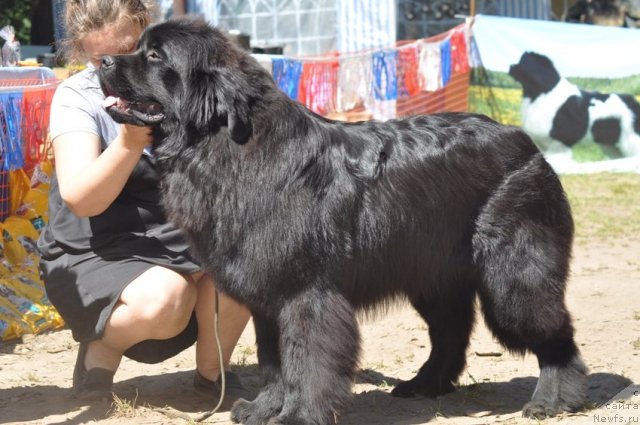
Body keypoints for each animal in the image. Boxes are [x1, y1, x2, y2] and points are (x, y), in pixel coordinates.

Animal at [99, 16, 584, 424]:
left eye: (155, 55)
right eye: (137, 47)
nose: (102, 60)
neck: (223, 144)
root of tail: (523, 140)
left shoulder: (306, 292)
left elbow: (308, 359)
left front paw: (299, 415)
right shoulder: (268, 296)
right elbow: (273, 360)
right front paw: (264, 408)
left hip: (513, 275)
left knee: (553, 332)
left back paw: (554, 399)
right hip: (432, 271)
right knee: (450, 331)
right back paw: (424, 384)